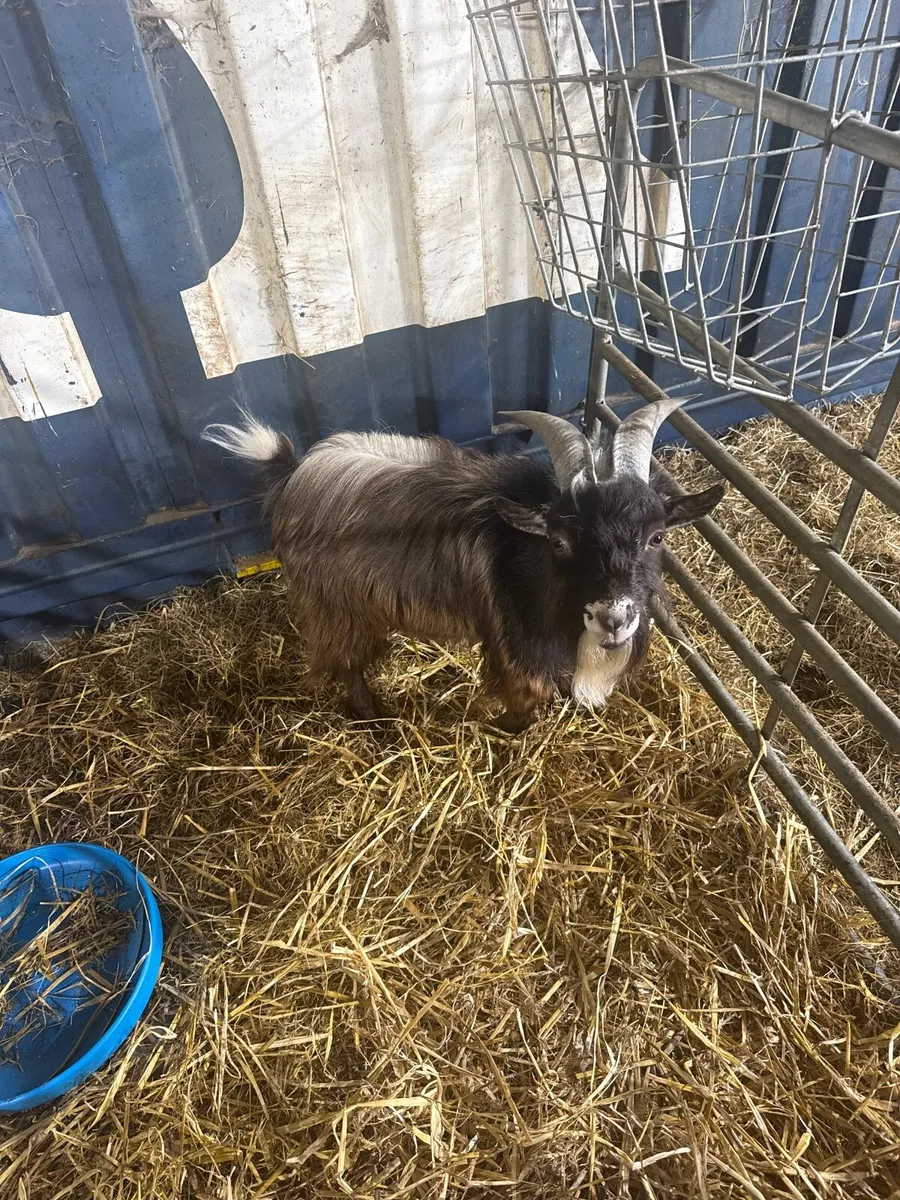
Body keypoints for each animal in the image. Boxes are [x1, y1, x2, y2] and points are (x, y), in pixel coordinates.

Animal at [202, 399, 723, 731]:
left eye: (656, 537)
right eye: (559, 541)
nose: (612, 619)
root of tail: (294, 472)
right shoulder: (514, 641)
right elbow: (526, 695)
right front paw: (505, 730)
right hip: (338, 606)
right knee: (347, 665)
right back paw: (375, 719)